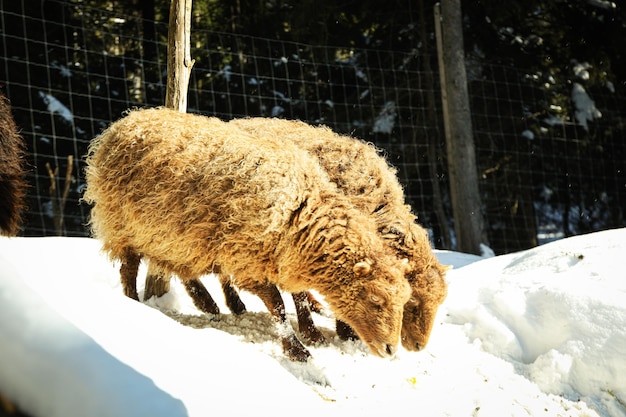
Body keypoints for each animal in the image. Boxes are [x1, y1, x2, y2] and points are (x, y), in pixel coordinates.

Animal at [85, 107, 412, 360]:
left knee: (177, 267)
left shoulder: (277, 257)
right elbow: (278, 306)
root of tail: (126, 121)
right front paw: (298, 351)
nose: (390, 350)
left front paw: (307, 337)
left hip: (175, 235)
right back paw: (134, 304)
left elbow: (296, 298)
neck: (299, 209)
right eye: (376, 300)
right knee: (128, 269)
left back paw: (209, 304)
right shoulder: (248, 258)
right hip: (122, 226)